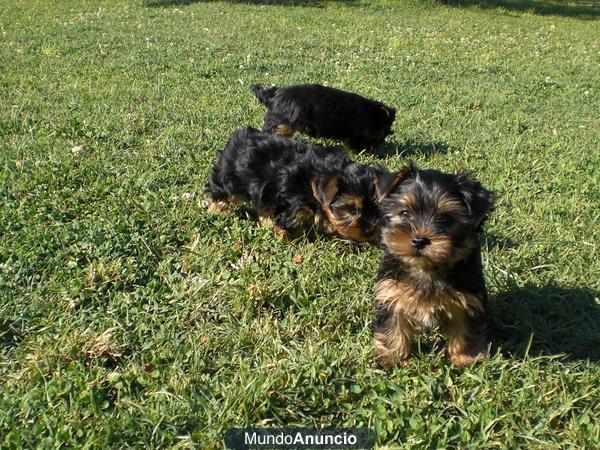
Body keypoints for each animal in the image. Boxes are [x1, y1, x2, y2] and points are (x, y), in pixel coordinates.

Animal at [206, 126, 392, 243]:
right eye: (352, 209)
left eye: (377, 209)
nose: (370, 232)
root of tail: (239, 137)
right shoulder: (294, 202)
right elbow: (290, 221)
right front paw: (288, 239)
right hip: (229, 178)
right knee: (220, 192)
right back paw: (216, 210)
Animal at [251, 84, 396, 153]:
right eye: (386, 129)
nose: (391, 133)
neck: (368, 114)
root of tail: (272, 94)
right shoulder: (355, 134)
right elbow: (356, 144)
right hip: (284, 122)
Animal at [372, 163, 494, 368]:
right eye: (405, 213)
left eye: (445, 219)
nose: (419, 240)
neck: (426, 269)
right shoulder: (390, 292)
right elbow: (392, 327)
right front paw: (393, 358)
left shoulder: (468, 300)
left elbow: (465, 329)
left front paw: (465, 359)